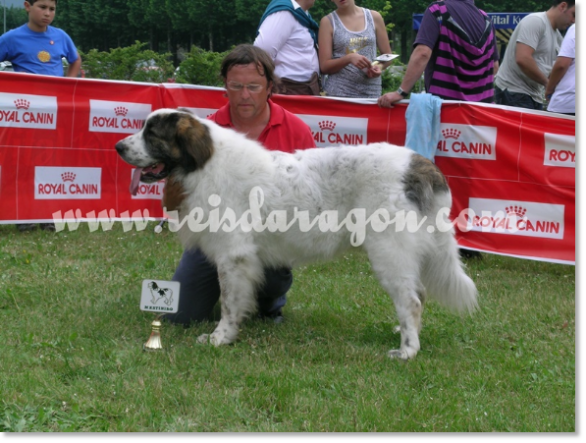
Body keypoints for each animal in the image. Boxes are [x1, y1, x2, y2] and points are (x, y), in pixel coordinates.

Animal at [114, 109, 474, 362]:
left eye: (152, 134)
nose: (117, 146)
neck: (203, 164)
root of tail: (423, 164)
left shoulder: (233, 257)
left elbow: (229, 302)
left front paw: (220, 338)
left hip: (389, 251)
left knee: (412, 300)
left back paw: (407, 350)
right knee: (417, 295)